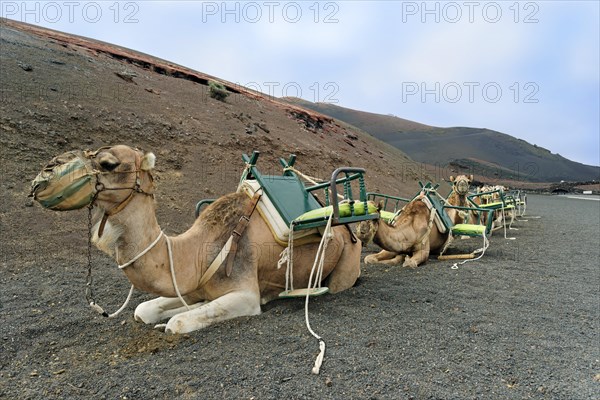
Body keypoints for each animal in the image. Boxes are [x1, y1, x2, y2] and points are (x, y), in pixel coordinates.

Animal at [30, 146, 360, 334]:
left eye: (108, 163)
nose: (42, 177)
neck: (198, 250)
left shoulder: (245, 294)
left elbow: (176, 324)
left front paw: (171, 321)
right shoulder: (192, 283)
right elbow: (143, 310)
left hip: (348, 262)